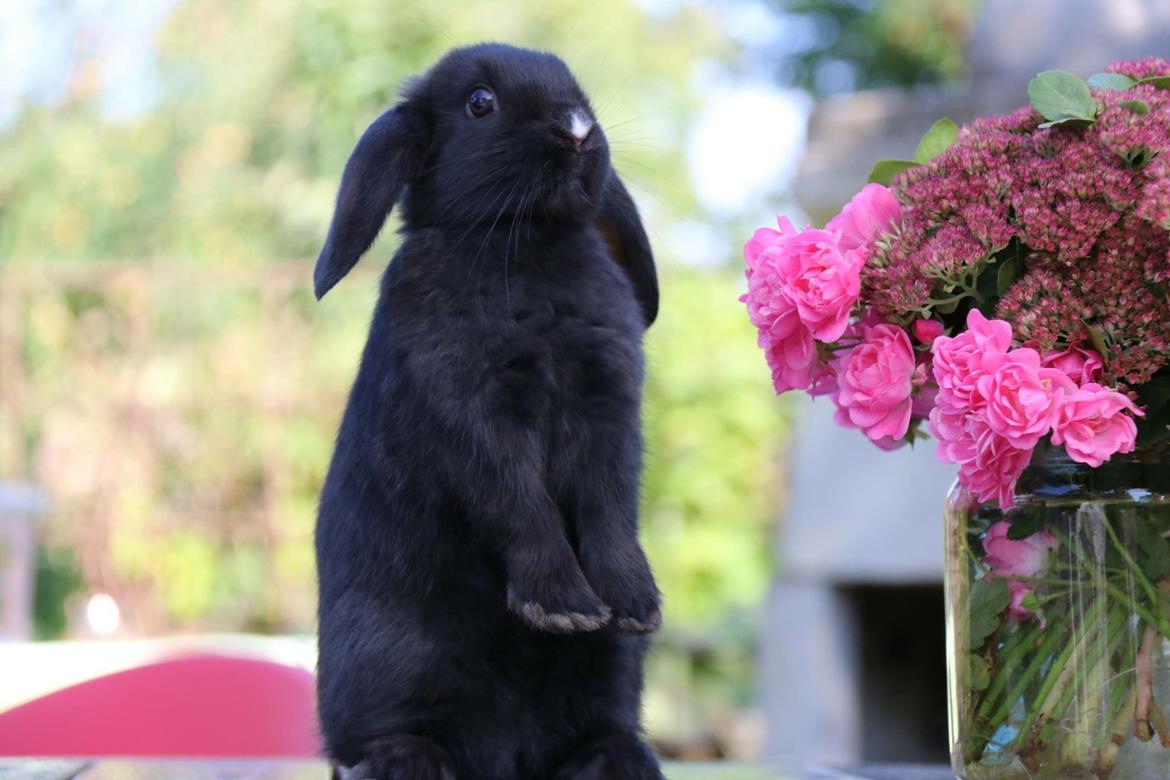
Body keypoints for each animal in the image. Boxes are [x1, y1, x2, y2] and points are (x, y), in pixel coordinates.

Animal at [315, 44, 669, 780]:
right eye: (480, 103)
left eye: (578, 90)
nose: (577, 131)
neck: (527, 242)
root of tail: (504, 759)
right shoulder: (472, 415)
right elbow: (519, 504)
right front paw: (562, 609)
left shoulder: (611, 408)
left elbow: (609, 507)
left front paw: (632, 606)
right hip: (383, 662)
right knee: (380, 739)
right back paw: (405, 761)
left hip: (607, 688)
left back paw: (617, 757)